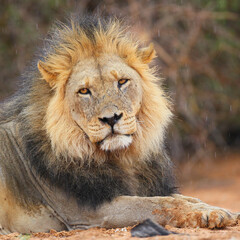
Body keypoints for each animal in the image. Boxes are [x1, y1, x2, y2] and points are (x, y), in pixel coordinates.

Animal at [0, 15, 239, 234]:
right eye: (84, 91)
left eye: (122, 82)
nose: (111, 118)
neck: (122, 158)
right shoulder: (87, 212)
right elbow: (160, 204)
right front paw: (209, 213)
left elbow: (186, 197)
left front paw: (220, 210)